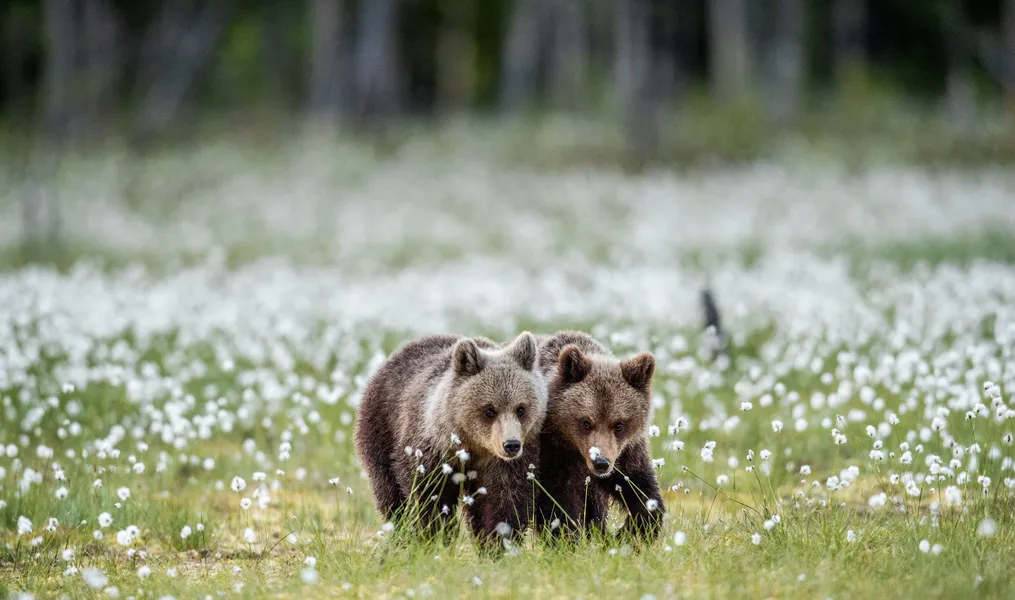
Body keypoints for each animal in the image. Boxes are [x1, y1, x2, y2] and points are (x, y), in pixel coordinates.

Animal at [353, 331, 547, 549]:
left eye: (521, 408)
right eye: (489, 410)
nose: (511, 445)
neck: (472, 446)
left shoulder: (503, 464)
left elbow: (503, 500)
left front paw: (498, 543)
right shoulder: (432, 451)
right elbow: (429, 495)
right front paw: (433, 536)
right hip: (381, 429)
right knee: (389, 492)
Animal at [532, 330, 664, 543]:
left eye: (619, 424)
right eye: (586, 422)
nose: (600, 462)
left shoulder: (626, 452)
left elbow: (642, 490)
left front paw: (630, 534)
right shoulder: (555, 452)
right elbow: (557, 500)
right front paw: (566, 537)